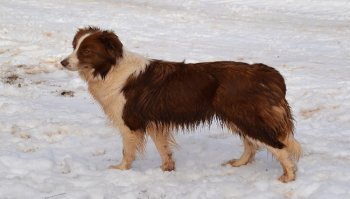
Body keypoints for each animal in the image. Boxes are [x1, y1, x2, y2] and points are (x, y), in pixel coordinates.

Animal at [60, 26, 300, 183]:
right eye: (74, 46)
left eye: (86, 51)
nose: (62, 62)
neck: (110, 68)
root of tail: (265, 73)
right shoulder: (154, 121)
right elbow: (163, 149)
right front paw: (167, 169)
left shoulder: (130, 122)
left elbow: (127, 151)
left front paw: (120, 170)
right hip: (237, 118)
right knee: (252, 145)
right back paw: (239, 164)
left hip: (246, 118)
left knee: (277, 145)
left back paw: (289, 175)